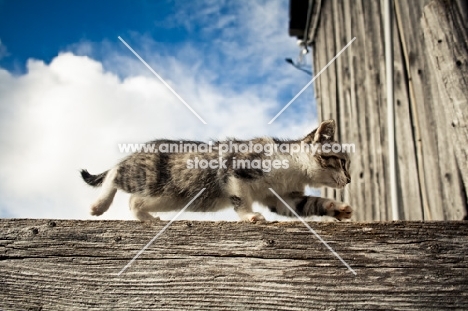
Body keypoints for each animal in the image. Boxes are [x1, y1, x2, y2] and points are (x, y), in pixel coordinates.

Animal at [81, 119, 352, 222]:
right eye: (342, 162)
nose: (349, 179)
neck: (294, 169)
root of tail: (142, 148)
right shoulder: (234, 171)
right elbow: (240, 198)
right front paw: (249, 216)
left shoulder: (284, 198)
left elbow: (310, 204)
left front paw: (338, 208)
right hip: (146, 175)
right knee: (116, 173)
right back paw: (99, 205)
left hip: (167, 197)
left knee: (135, 201)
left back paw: (148, 219)